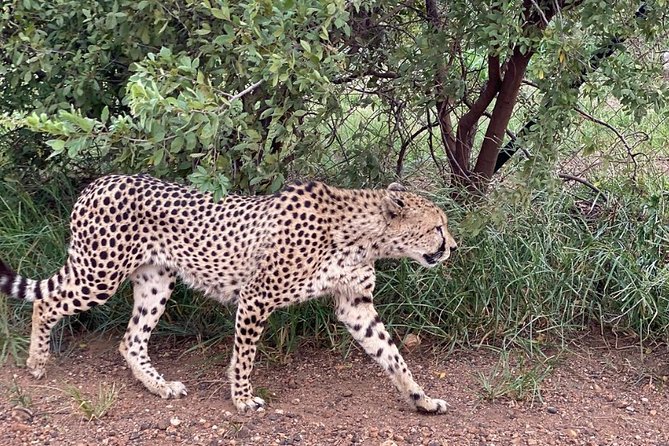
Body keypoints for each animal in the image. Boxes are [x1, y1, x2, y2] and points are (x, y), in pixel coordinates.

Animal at [0, 174, 456, 414]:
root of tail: (99, 182)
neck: (364, 236)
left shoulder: (354, 304)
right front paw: (241, 399)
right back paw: (37, 362)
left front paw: (421, 397)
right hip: (99, 274)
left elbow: (391, 354)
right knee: (46, 302)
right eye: (437, 226)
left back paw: (160, 387)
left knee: (131, 340)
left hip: (155, 280)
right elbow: (244, 356)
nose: (453, 246)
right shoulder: (257, 296)